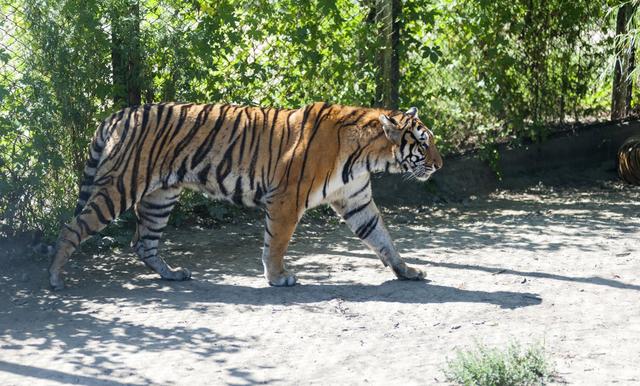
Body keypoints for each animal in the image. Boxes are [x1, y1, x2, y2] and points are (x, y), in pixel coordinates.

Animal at [48, 102, 440, 290]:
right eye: (423, 143)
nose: (439, 164)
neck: (368, 156)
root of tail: (116, 115)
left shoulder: (357, 201)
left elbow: (383, 239)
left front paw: (407, 271)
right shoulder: (286, 200)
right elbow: (275, 243)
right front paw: (278, 278)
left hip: (161, 196)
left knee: (143, 242)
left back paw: (172, 275)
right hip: (120, 186)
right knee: (71, 229)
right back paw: (55, 279)